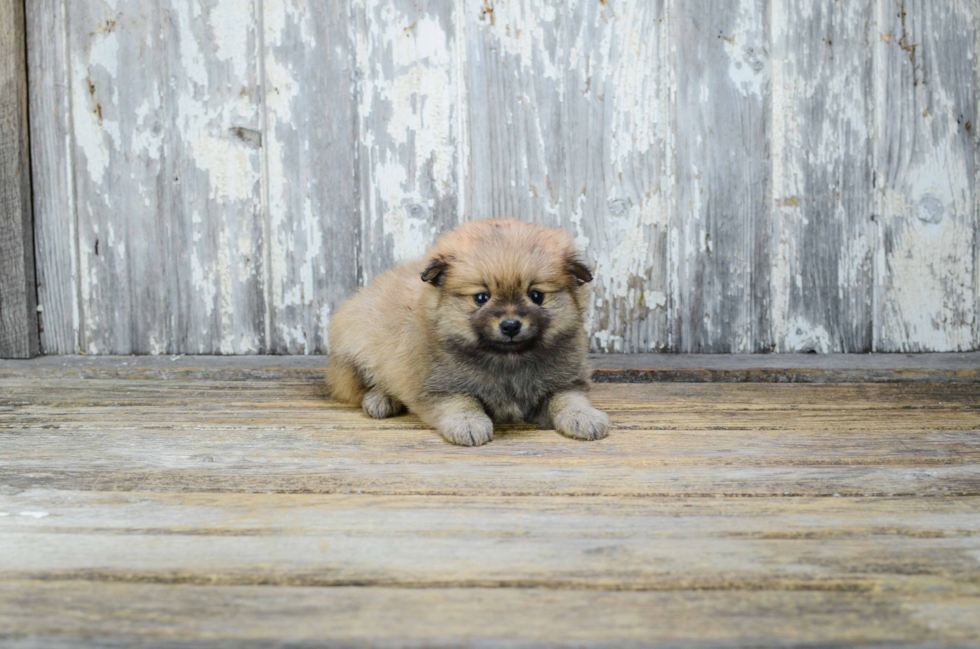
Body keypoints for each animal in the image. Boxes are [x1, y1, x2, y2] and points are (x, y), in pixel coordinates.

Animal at [326, 219, 608, 446]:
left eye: (536, 296)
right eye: (481, 298)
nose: (510, 325)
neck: (508, 361)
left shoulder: (564, 382)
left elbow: (570, 400)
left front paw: (586, 418)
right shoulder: (443, 388)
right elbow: (463, 404)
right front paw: (469, 424)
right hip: (356, 352)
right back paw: (381, 399)